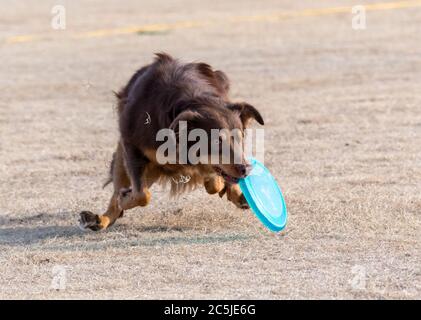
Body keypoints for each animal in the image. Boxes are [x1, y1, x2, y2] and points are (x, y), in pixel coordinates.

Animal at [79, 53, 262, 231]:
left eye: (240, 138)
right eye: (216, 142)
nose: (246, 169)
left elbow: (214, 181)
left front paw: (220, 185)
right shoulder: (132, 147)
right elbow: (142, 195)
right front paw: (124, 198)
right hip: (127, 156)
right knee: (120, 188)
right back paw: (100, 219)